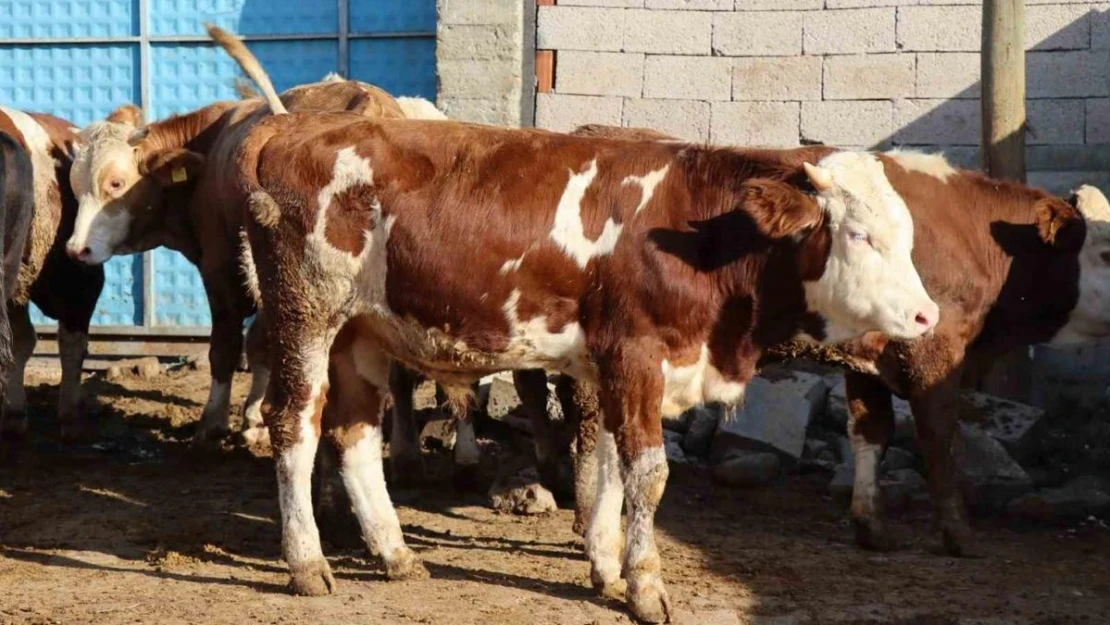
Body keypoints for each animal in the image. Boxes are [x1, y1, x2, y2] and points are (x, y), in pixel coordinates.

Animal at [229, 44, 941, 621]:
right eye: (859, 235)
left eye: (908, 234)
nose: (926, 315)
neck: (706, 235)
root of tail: (292, 125)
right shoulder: (637, 355)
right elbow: (646, 473)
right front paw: (646, 587)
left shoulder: (607, 365)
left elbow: (605, 462)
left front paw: (605, 566)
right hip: (305, 313)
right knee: (294, 424)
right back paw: (306, 563)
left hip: (362, 331)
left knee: (352, 432)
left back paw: (395, 553)